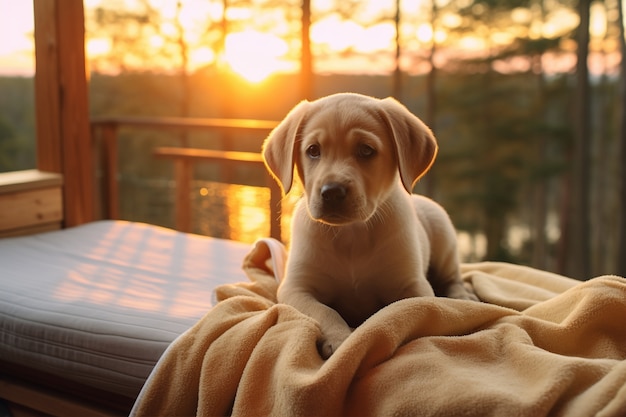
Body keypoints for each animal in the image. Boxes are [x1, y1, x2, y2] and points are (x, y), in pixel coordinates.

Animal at [260, 92, 476, 358]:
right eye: (313, 150)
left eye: (365, 150)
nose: (332, 192)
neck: (352, 234)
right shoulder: (296, 288)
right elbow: (325, 311)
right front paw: (340, 339)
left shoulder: (414, 287)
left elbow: (399, 312)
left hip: (442, 232)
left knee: (454, 278)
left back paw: (464, 296)